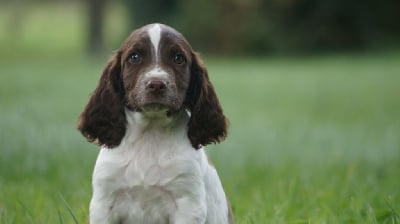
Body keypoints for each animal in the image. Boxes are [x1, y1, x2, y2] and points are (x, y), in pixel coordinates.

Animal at [77, 23, 233, 224]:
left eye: (178, 58)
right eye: (135, 57)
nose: (156, 84)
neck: (149, 135)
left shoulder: (188, 203)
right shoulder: (103, 202)